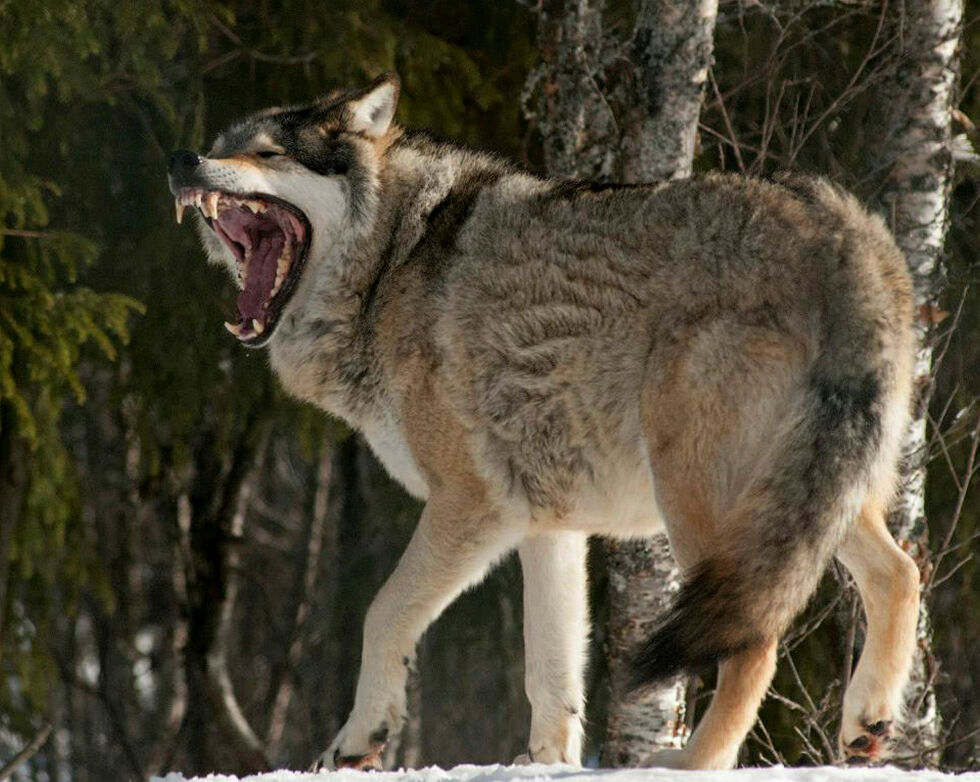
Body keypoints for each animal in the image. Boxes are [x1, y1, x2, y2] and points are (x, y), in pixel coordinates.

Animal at [165, 72, 924, 772]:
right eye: (222, 145)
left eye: (266, 152)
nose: (181, 159)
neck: (389, 264)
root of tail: (843, 232)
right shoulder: (548, 525)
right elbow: (550, 676)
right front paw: (544, 765)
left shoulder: (474, 505)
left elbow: (382, 612)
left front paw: (358, 742)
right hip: (802, 504)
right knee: (901, 573)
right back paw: (867, 723)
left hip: (700, 504)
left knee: (756, 641)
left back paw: (689, 763)